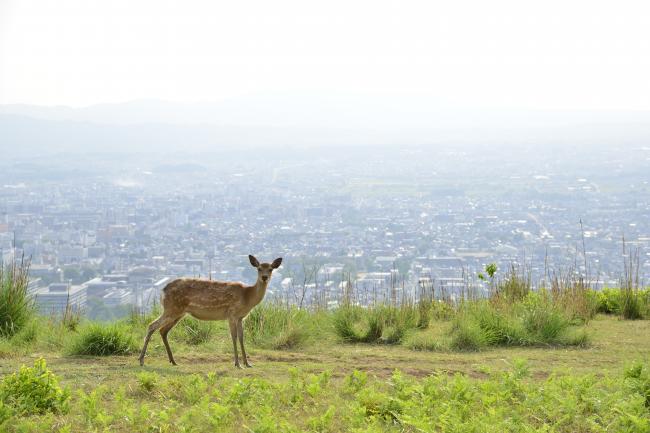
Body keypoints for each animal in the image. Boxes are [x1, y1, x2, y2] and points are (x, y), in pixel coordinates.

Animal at [139, 253, 280, 368]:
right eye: (259, 268)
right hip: (171, 308)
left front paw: (248, 363)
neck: (247, 296)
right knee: (152, 325)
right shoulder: (232, 313)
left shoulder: (241, 317)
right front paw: (237, 364)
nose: (265, 277)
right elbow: (233, 337)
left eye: (271, 269)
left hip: (178, 312)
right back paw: (141, 360)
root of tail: (162, 291)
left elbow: (241, 337)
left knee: (163, 330)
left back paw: (173, 361)